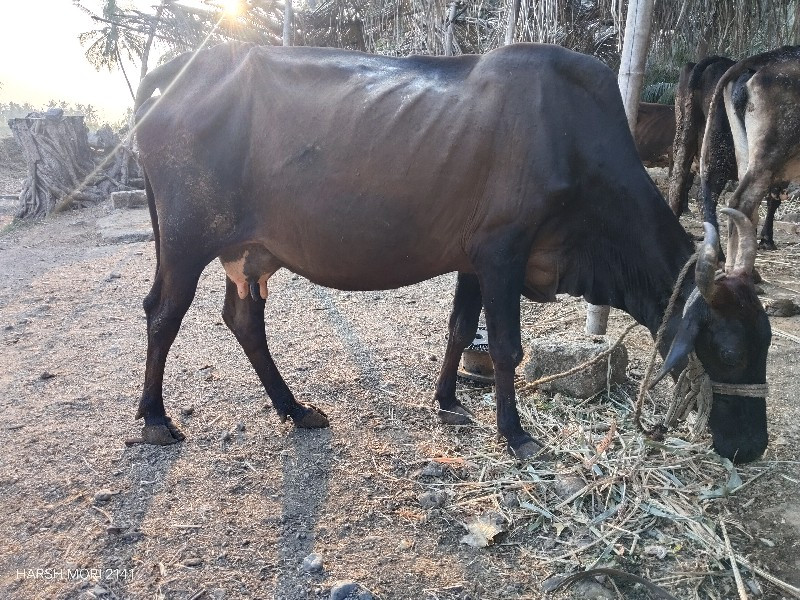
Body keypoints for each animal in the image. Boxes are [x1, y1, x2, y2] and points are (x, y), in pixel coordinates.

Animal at [134, 43, 772, 464]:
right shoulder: (503, 251)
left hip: (247, 250)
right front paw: (516, 434)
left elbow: (462, 329)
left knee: (243, 319)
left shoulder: (472, 257)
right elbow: (507, 347)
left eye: (765, 343)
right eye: (730, 353)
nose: (752, 447)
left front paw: (447, 401)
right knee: (162, 312)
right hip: (187, 239)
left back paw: (294, 410)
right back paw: (155, 419)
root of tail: (184, 69)